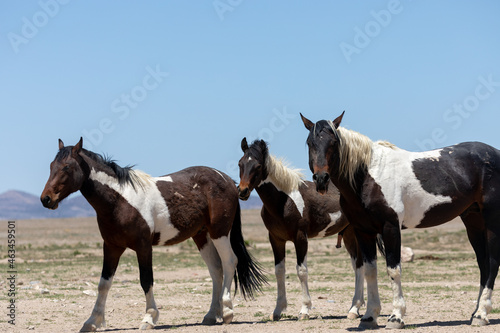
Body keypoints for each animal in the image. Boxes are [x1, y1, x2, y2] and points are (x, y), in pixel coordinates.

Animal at [39, 137, 268, 330]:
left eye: (66, 167)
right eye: (51, 166)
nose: (46, 199)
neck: (120, 201)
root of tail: (229, 181)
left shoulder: (143, 247)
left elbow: (146, 280)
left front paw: (149, 318)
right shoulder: (112, 247)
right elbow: (104, 284)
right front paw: (92, 322)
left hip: (219, 232)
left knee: (229, 262)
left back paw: (227, 311)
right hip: (201, 236)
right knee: (216, 270)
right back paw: (212, 315)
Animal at [236, 137, 366, 320]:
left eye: (258, 166)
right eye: (240, 163)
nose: (243, 191)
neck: (284, 200)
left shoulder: (300, 238)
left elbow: (301, 271)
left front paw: (304, 309)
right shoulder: (276, 239)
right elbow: (279, 271)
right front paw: (278, 310)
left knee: (361, 265)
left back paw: (355, 308)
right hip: (348, 235)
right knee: (357, 265)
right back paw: (357, 307)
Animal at [302, 112, 500, 330]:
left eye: (334, 142)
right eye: (310, 143)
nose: (321, 179)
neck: (368, 177)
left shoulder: (390, 228)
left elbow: (393, 270)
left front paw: (396, 317)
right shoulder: (363, 231)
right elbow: (370, 271)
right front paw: (369, 316)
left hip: (491, 220)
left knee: (492, 262)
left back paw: (482, 314)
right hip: (473, 222)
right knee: (483, 264)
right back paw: (476, 313)